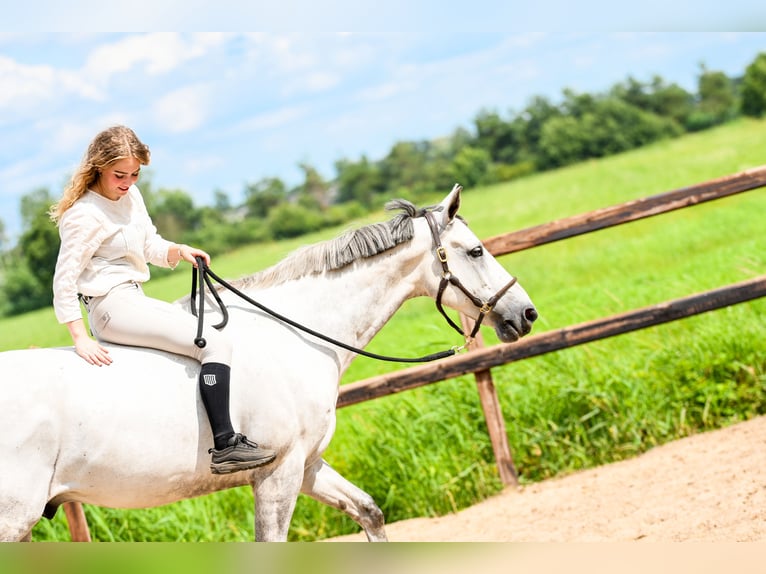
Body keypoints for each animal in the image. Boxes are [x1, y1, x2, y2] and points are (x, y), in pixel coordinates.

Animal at [0, 184, 537, 542]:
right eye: (476, 251)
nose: (526, 314)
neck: (296, 335)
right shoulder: (278, 476)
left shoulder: (308, 464)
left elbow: (370, 512)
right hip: (14, 519)